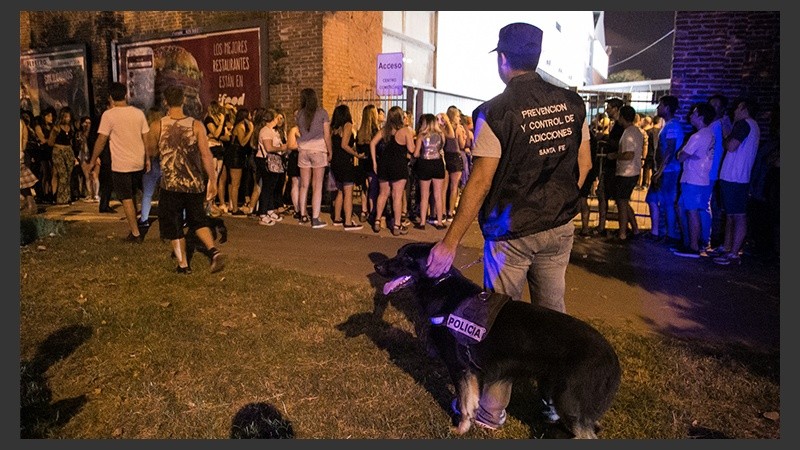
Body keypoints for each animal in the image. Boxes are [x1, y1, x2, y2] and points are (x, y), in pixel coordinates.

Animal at [372, 244, 620, 438]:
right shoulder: (471, 373)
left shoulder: (460, 369)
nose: (377, 267)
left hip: (568, 403)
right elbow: (470, 405)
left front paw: (460, 430)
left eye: (407, 258)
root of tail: (612, 358)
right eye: (398, 253)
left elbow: (464, 405)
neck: (439, 285)